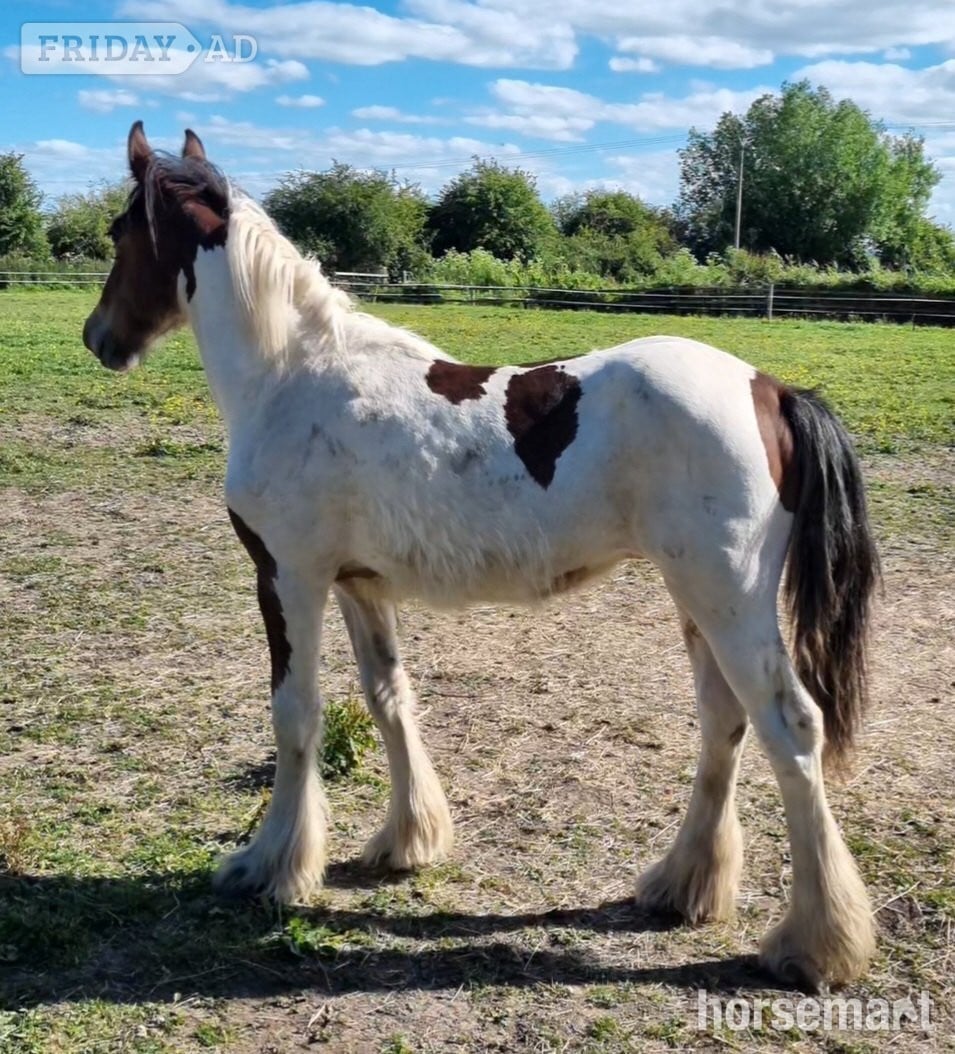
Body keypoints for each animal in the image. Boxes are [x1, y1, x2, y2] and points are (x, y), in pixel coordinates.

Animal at [82, 122, 880, 991]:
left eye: (120, 232)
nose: (99, 338)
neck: (290, 376)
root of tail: (772, 390)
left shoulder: (287, 577)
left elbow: (295, 715)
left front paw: (268, 866)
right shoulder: (359, 586)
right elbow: (388, 699)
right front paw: (406, 842)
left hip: (727, 599)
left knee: (789, 729)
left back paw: (813, 944)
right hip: (697, 599)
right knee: (723, 722)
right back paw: (683, 887)